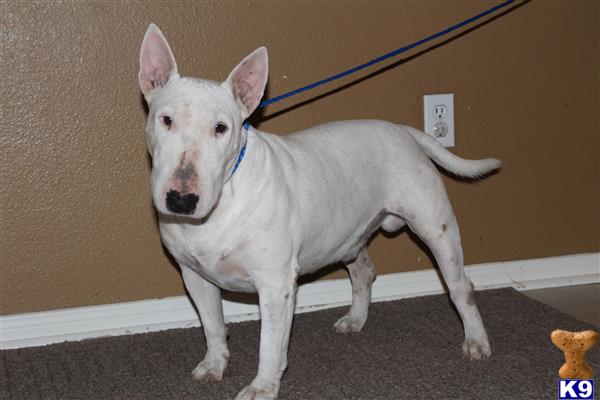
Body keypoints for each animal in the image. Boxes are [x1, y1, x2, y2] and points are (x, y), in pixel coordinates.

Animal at [138, 25, 500, 400]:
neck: (224, 199)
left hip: (436, 229)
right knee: (363, 273)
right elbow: (211, 324)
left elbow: (270, 344)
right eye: (166, 120)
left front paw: (262, 387)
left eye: (221, 128)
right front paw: (214, 364)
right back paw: (355, 319)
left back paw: (476, 340)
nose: (181, 200)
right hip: (349, 235)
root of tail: (404, 131)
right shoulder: (193, 275)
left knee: (460, 286)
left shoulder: (276, 284)